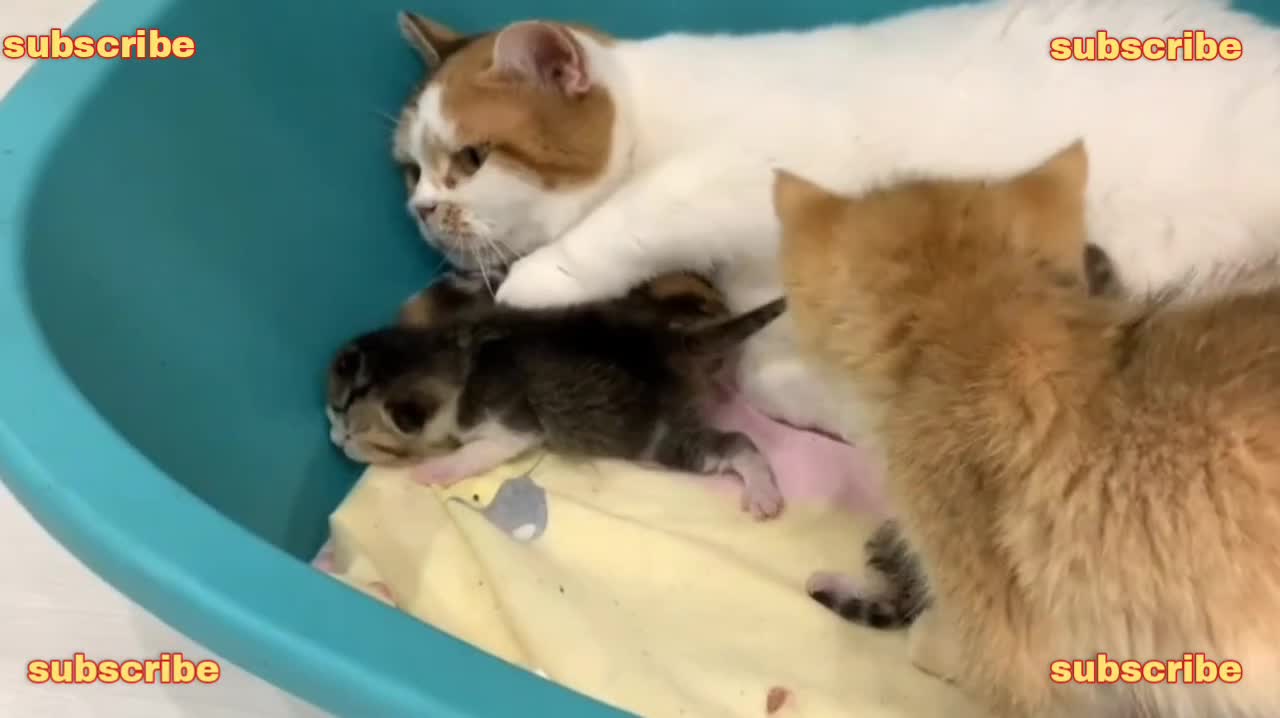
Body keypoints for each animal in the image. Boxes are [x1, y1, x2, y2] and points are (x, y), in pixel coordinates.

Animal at [386, 1, 1280, 437]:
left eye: (471, 158)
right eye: (412, 167)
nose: (420, 208)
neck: (660, 110)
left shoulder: (745, 170)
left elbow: (632, 216)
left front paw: (542, 278)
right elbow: (766, 369)